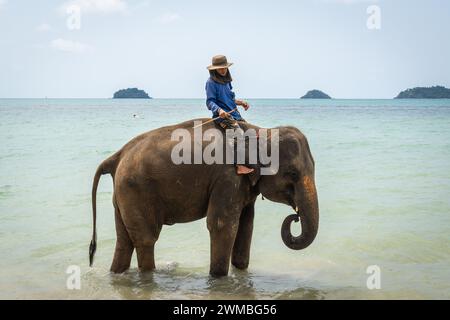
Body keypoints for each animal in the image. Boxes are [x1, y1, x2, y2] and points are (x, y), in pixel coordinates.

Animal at [89, 119, 318, 276]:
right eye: (293, 174)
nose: (295, 217)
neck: (261, 130)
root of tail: (116, 156)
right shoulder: (228, 177)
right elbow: (222, 224)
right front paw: (218, 278)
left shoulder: (243, 184)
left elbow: (246, 224)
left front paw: (240, 270)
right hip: (137, 191)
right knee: (146, 239)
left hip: (124, 195)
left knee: (124, 240)